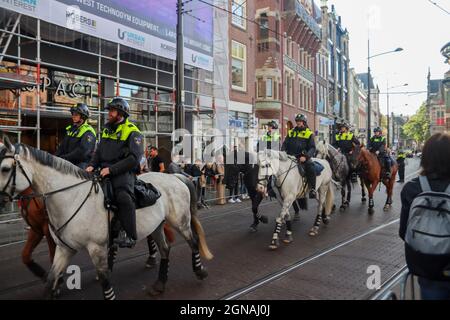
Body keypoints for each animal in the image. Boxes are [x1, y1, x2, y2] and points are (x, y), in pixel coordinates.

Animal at [0, 139, 213, 300]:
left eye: (4, 168)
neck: (71, 196)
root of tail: (176, 176)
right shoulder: (64, 248)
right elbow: (50, 276)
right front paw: (50, 282)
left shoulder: (96, 248)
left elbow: (104, 279)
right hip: (156, 226)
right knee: (165, 249)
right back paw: (159, 284)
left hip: (181, 222)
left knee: (193, 242)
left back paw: (200, 271)